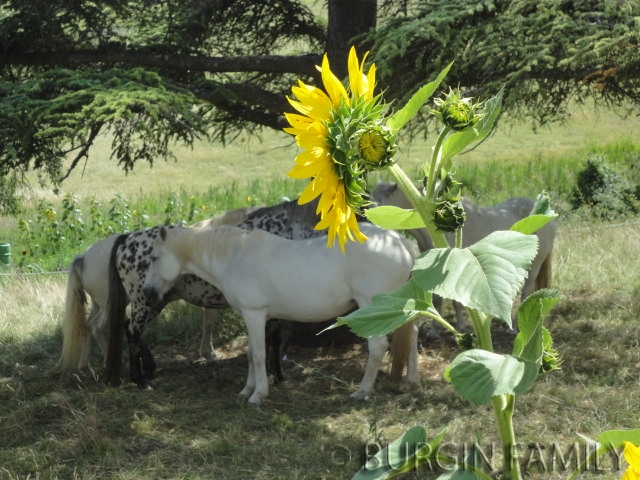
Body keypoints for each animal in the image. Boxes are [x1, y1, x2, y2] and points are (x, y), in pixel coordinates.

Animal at [142, 223, 418, 404]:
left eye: (154, 258)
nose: (147, 292)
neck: (234, 255)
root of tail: (402, 243)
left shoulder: (254, 314)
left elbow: (258, 354)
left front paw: (258, 394)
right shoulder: (252, 317)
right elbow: (251, 354)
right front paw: (247, 389)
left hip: (373, 309)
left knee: (378, 347)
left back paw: (362, 391)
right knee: (412, 338)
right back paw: (411, 381)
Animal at [372, 182, 556, 332]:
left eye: (378, 201)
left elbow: (456, 302)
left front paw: (458, 327)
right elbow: (438, 301)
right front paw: (436, 329)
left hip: (535, 265)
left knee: (525, 292)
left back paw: (514, 328)